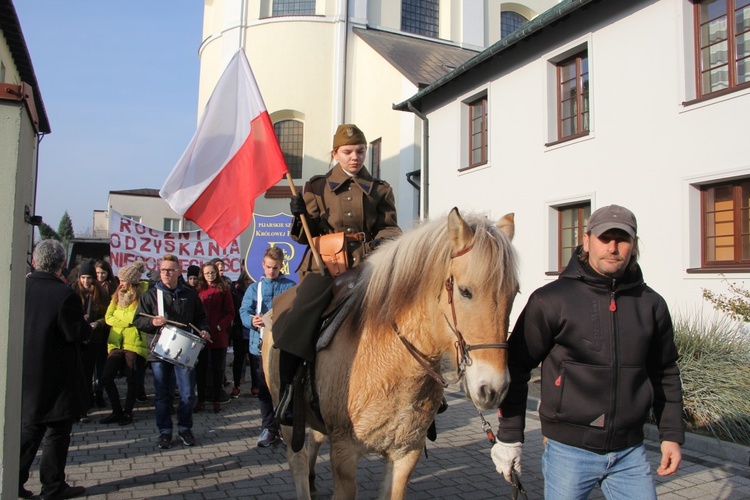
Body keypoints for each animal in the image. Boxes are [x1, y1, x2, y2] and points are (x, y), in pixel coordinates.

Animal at [262, 208, 516, 500]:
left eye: (515, 293)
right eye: (465, 291)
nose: (494, 389)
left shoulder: (406, 452)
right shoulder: (344, 453)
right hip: (285, 410)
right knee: (298, 459)